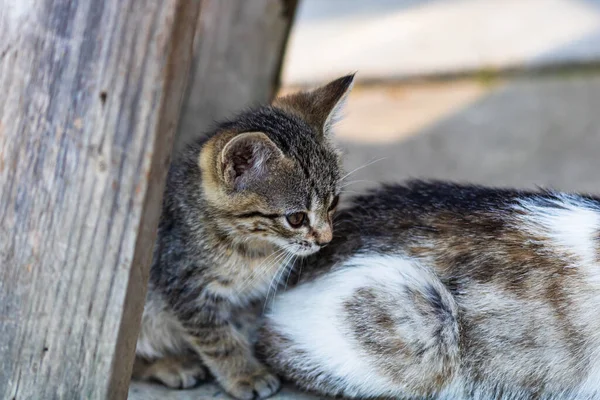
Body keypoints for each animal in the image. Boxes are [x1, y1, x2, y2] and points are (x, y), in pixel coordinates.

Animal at [134, 74, 354, 396]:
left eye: (334, 202)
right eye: (296, 218)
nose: (325, 240)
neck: (252, 248)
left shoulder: (249, 301)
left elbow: (246, 328)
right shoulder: (186, 288)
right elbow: (219, 340)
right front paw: (245, 374)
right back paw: (170, 364)